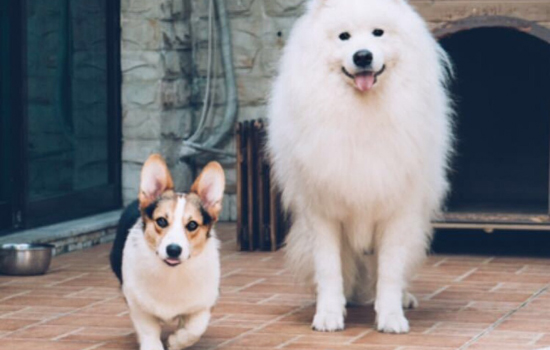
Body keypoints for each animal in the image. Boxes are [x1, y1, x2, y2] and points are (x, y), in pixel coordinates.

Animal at [110, 155, 226, 350]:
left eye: (192, 225)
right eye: (161, 221)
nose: (173, 250)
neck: (172, 274)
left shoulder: (204, 303)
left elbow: (195, 329)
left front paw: (176, 341)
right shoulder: (137, 304)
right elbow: (149, 332)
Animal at [270, 0, 454, 334]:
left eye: (378, 33)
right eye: (344, 36)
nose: (363, 56)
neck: (361, 111)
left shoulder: (397, 211)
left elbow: (390, 271)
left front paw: (391, 317)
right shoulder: (323, 212)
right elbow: (329, 269)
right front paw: (328, 315)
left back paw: (402, 299)